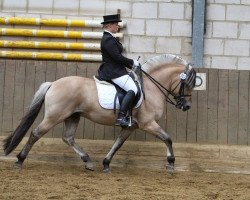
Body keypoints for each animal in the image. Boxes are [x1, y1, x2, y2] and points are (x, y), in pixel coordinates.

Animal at [2, 54, 196, 173]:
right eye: (187, 84)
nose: (186, 106)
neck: (150, 88)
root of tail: (53, 83)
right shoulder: (148, 124)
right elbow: (168, 138)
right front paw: (171, 163)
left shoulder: (131, 127)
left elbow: (117, 144)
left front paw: (106, 163)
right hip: (54, 116)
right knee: (36, 133)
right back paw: (19, 160)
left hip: (72, 116)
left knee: (68, 138)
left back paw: (88, 161)